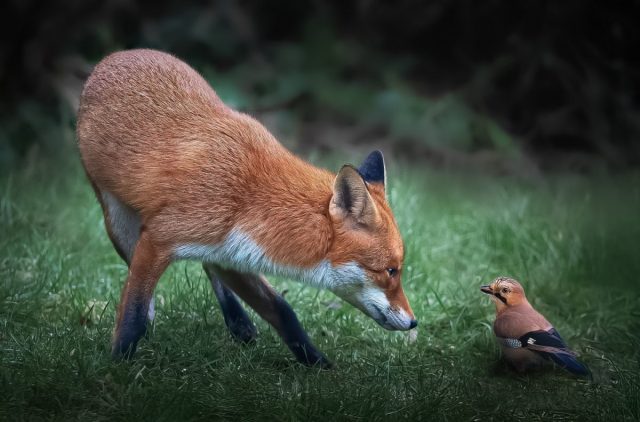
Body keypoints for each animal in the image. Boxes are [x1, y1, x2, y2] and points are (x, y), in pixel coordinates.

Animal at [76, 49, 416, 367]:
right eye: (391, 270)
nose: (414, 322)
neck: (249, 198)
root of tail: (117, 56)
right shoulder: (157, 240)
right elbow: (132, 314)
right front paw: (119, 365)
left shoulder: (235, 253)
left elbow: (282, 310)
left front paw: (319, 365)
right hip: (120, 225)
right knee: (145, 291)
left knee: (211, 271)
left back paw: (240, 325)